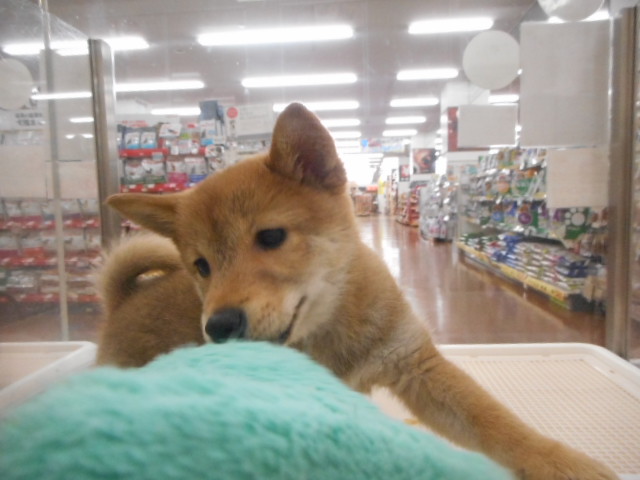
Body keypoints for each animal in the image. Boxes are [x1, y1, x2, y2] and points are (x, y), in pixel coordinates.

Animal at [99, 102, 618, 480]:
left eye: (271, 237)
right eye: (202, 266)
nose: (219, 325)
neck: (333, 332)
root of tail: (122, 301)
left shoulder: (417, 365)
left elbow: (498, 424)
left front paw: (565, 464)